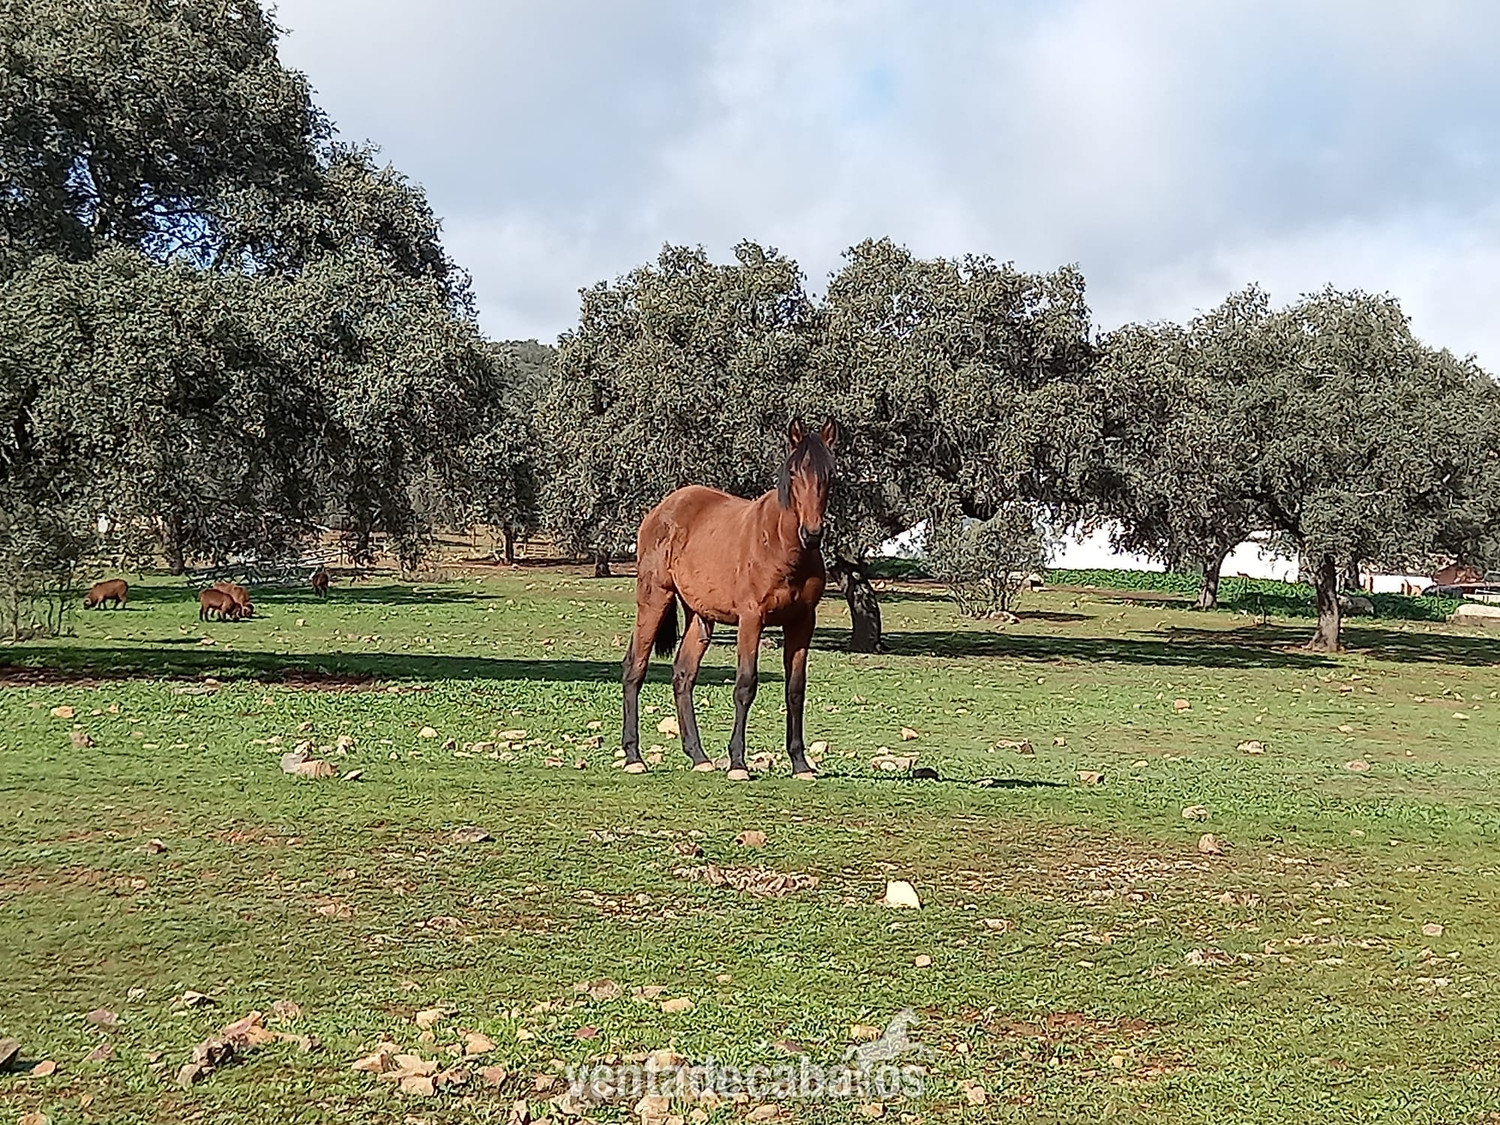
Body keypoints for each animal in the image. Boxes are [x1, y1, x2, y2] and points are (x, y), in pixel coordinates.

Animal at [621, 417, 838, 782]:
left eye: (830, 474)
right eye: (795, 473)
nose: (812, 533)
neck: (781, 545)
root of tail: (660, 510)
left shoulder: (802, 622)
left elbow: (795, 689)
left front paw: (800, 764)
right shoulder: (751, 619)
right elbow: (745, 685)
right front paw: (738, 762)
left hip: (699, 616)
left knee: (683, 676)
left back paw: (698, 756)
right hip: (654, 599)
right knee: (635, 668)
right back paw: (633, 757)